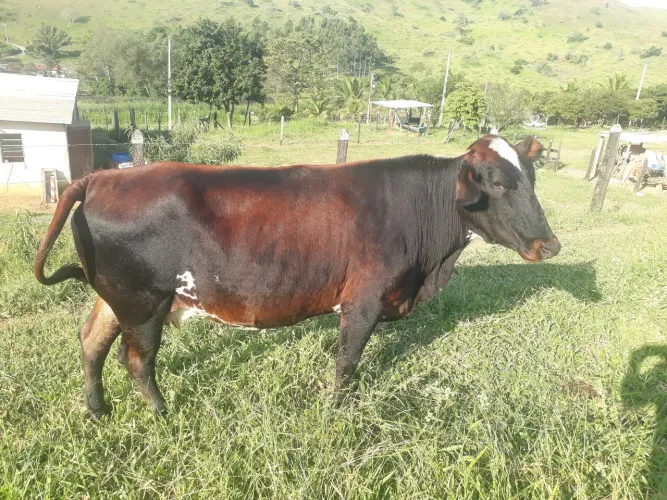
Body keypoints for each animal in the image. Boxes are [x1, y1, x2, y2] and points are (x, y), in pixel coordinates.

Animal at [35, 134, 560, 418]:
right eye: (498, 183)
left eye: (533, 178)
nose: (549, 245)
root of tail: (101, 178)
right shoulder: (364, 300)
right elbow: (347, 362)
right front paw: (337, 411)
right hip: (144, 301)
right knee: (137, 361)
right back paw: (164, 415)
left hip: (116, 297)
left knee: (91, 341)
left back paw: (98, 409)